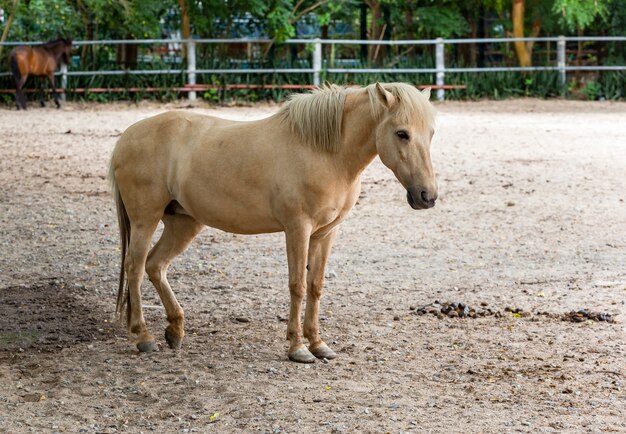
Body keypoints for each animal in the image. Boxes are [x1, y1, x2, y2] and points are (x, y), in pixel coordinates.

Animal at [108, 82, 434, 362]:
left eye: (430, 133)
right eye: (402, 133)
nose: (427, 196)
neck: (324, 152)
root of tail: (127, 137)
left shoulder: (325, 233)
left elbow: (316, 286)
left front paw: (318, 344)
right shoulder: (298, 229)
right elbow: (298, 286)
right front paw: (298, 348)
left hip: (183, 224)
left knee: (155, 265)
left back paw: (175, 330)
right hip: (145, 220)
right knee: (135, 268)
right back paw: (143, 337)